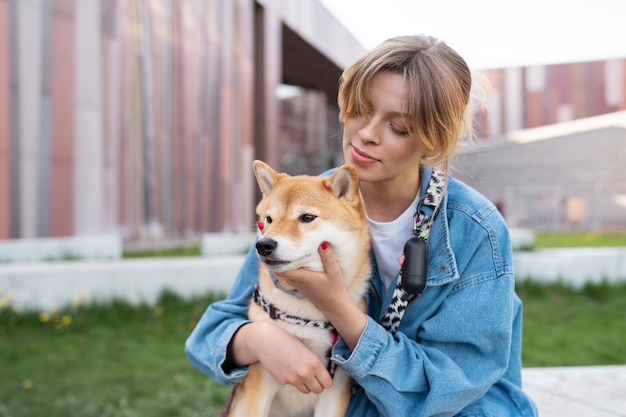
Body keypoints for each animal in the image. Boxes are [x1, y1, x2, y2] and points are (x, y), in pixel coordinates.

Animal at [224, 158, 370, 414]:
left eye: (307, 218)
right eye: (269, 219)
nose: (264, 245)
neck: (305, 309)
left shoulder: (335, 388)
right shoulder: (261, 379)